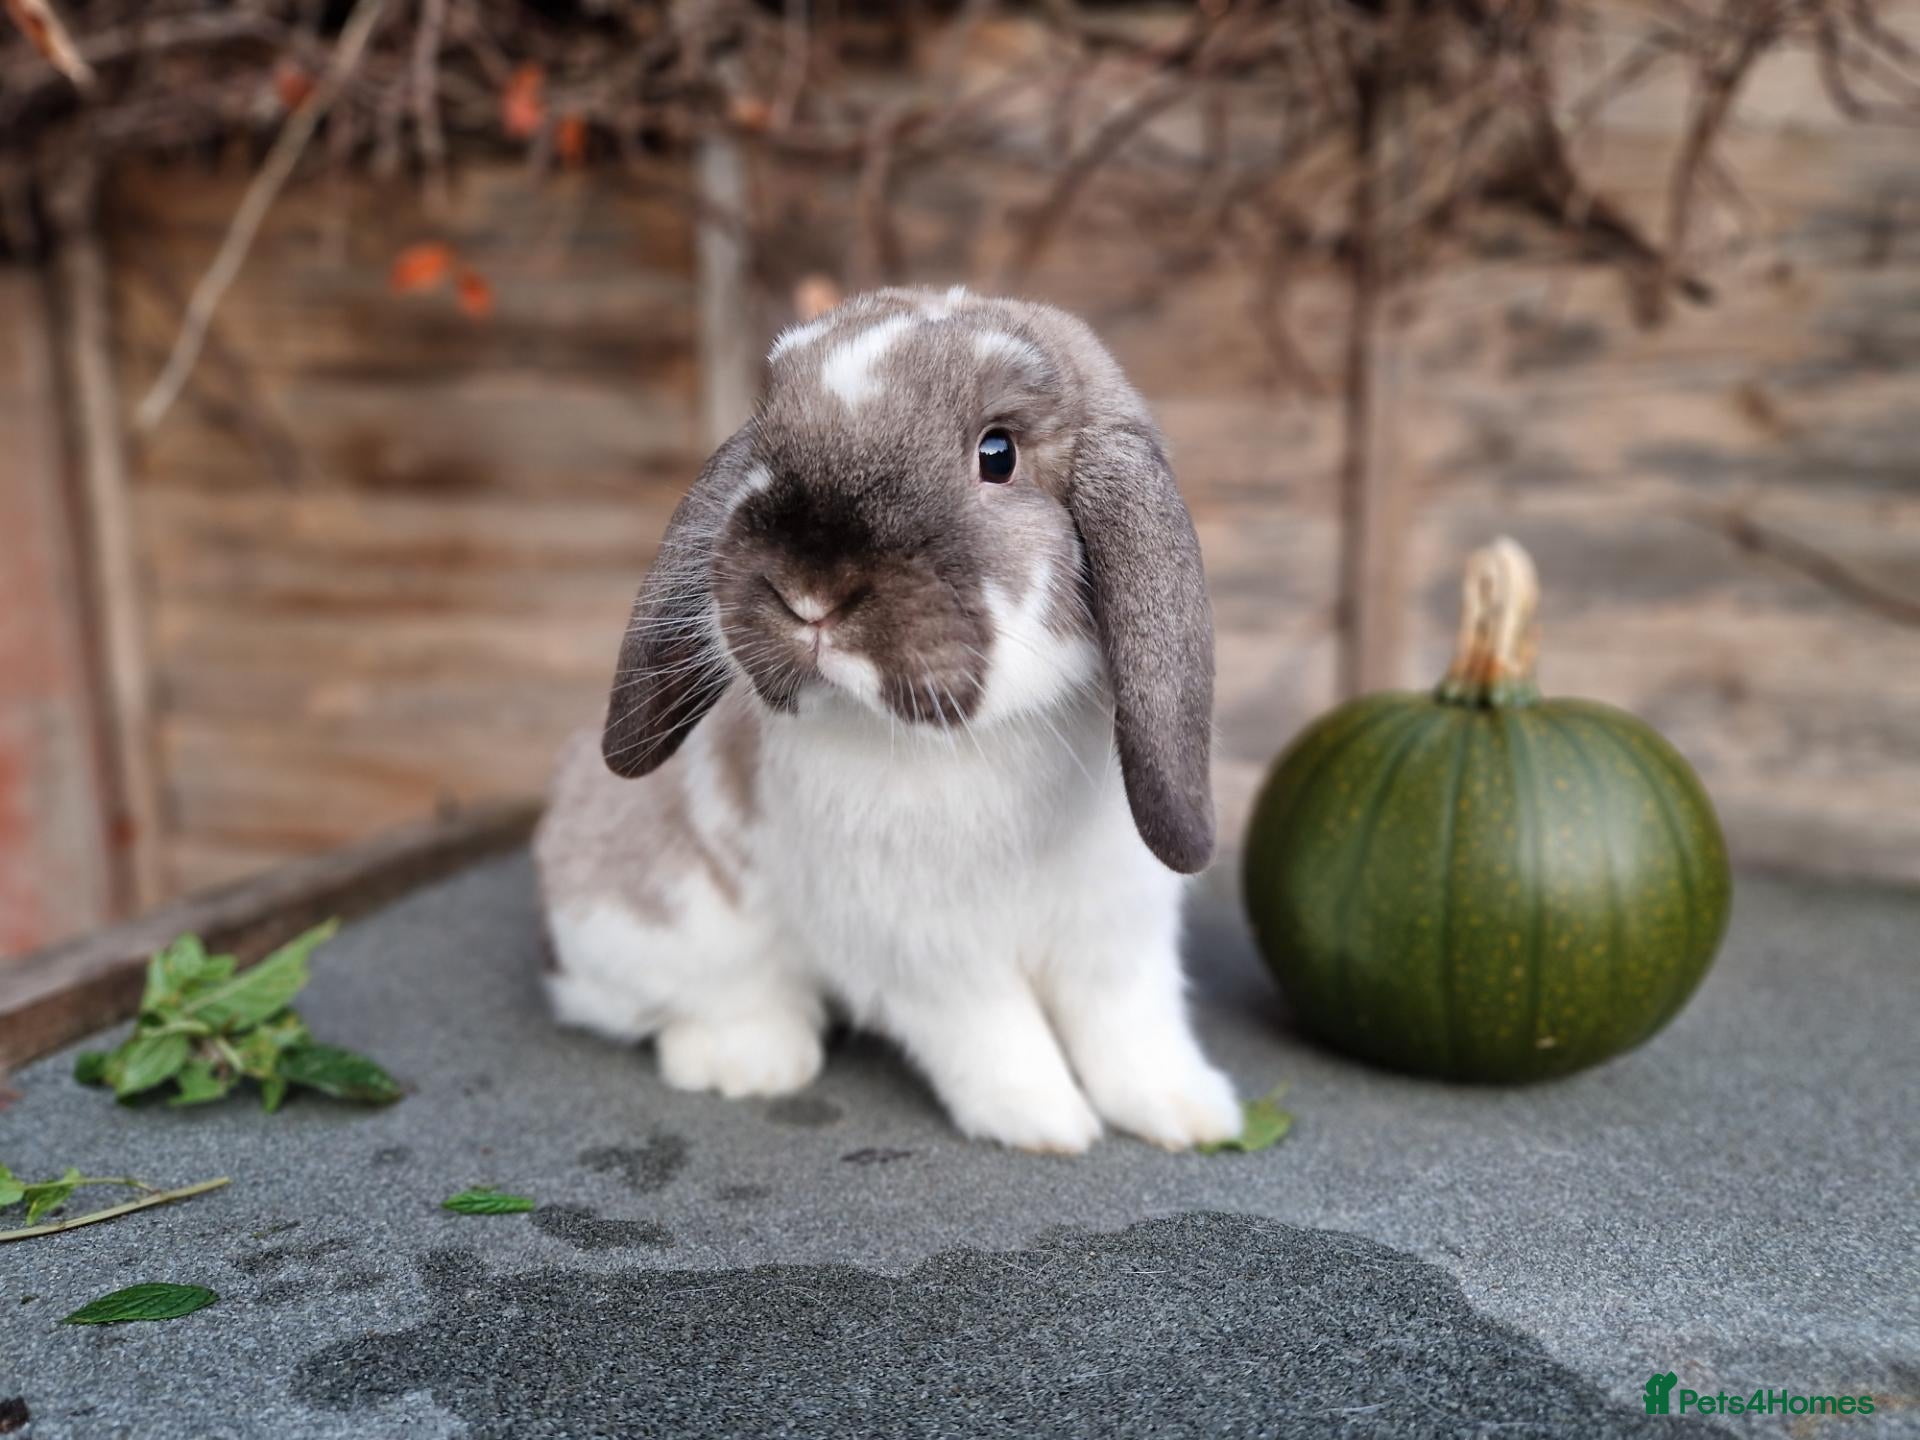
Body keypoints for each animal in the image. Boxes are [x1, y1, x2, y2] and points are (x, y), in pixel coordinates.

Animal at [534, 286, 1241, 1153]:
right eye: (771, 436)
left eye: (997, 453)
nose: (807, 590)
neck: (979, 740)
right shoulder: (923, 952)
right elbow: (995, 1032)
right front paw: (1046, 1122)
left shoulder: (1117, 931)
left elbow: (1132, 1025)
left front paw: (1189, 1113)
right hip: (657, 924)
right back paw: (750, 1060)